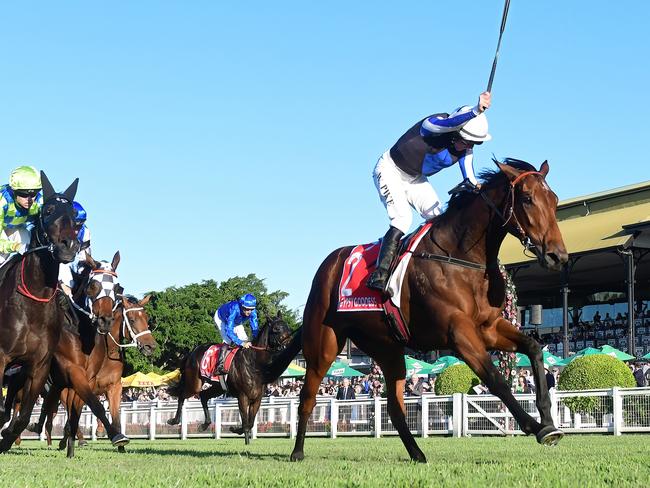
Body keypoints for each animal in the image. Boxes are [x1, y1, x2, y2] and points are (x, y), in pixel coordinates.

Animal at [0, 173, 80, 454]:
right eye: (48, 211)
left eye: (75, 216)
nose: (69, 245)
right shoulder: (1, 357)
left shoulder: (38, 366)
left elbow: (22, 417)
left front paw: (5, 440)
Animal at [166, 314, 300, 444]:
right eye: (277, 329)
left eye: (287, 328)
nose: (289, 344)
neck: (254, 363)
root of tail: (192, 352)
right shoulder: (242, 396)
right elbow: (246, 422)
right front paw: (243, 438)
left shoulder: (257, 399)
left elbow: (250, 423)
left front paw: (235, 429)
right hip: (194, 384)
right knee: (182, 396)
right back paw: (174, 420)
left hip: (218, 388)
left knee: (203, 396)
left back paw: (204, 425)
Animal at [288, 158, 568, 464]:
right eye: (527, 199)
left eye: (554, 200)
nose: (558, 256)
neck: (462, 257)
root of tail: (327, 265)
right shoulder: (459, 334)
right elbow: (495, 379)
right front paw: (535, 427)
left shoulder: (489, 328)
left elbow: (533, 347)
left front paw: (549, 421)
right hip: (322, 346)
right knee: (307, 397)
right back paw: (297, 451)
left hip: (388, 349)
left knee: (395, 408)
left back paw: (417, 453)